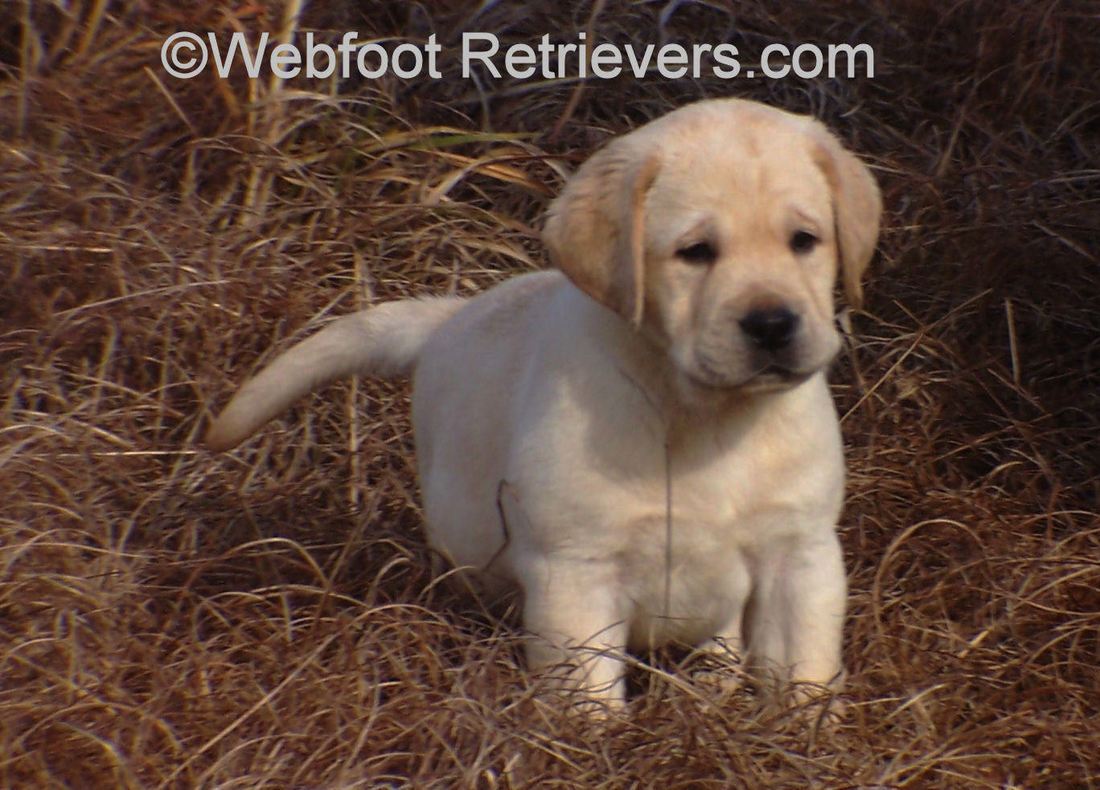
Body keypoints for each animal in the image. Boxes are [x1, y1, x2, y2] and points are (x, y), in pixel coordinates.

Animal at [206, 97, 880, 712]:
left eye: (804, 241)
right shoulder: (575, 572)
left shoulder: (801, 555)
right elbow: (588, 699)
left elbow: (803, 674)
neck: (703, 414)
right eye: (696, 252)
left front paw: (801, 737)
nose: (772, 324)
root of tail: (449, 316)